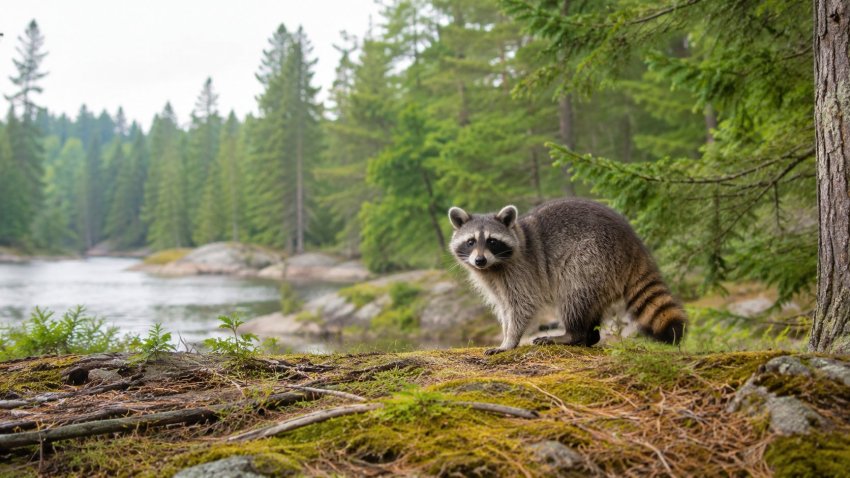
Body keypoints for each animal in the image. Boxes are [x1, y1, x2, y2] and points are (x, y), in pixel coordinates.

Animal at [448, 198, 685, 355]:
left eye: (492, 241)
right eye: (470, 242)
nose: (479, 260)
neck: (493, 266)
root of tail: (632, 242)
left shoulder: (521, 270)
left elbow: (521, 306)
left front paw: (509, 341)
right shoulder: (494, 280)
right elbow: (504, 307)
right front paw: (506, 333)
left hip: (592, 258)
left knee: (573, 293)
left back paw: (572, 335)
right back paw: (590, 337)